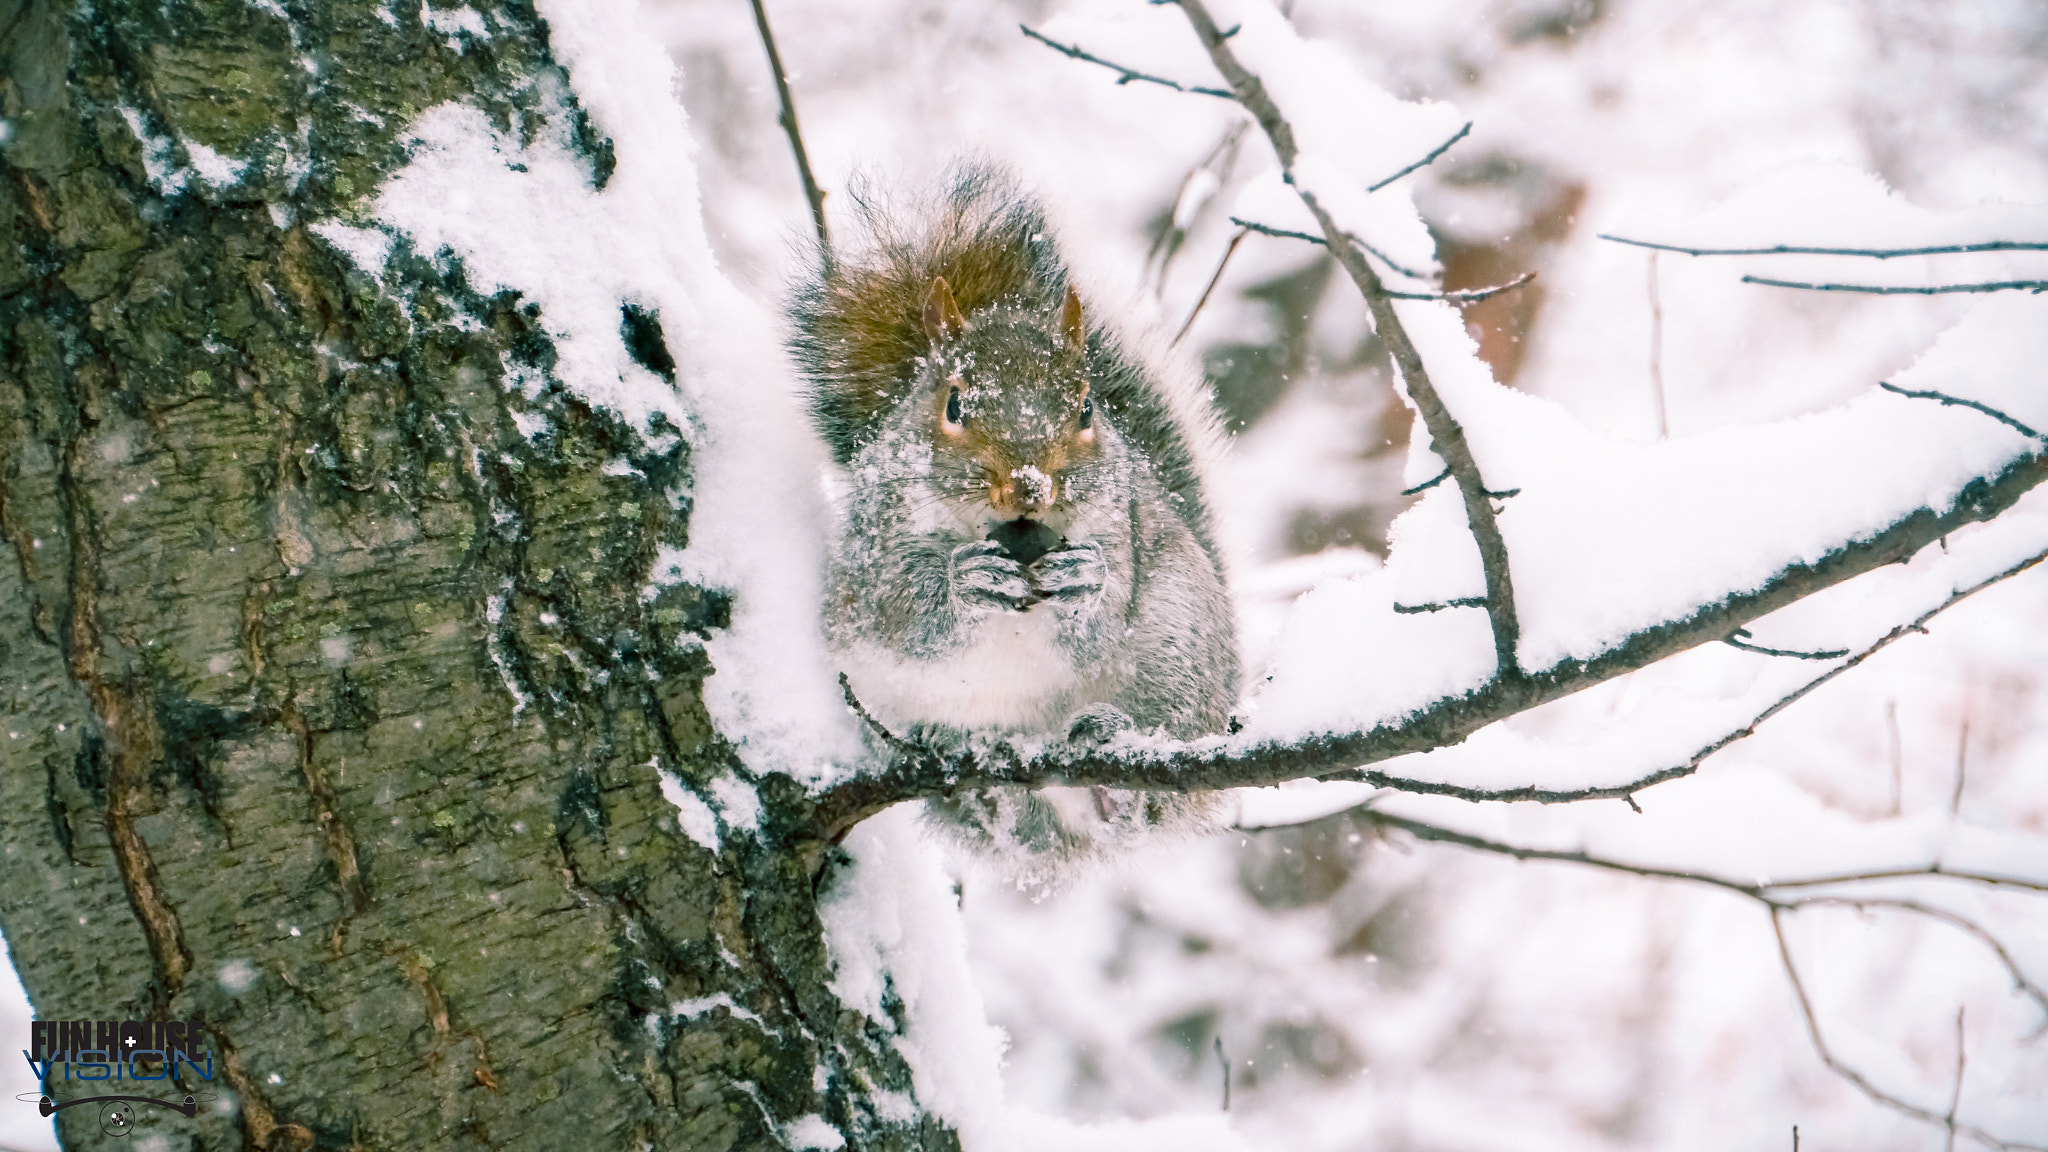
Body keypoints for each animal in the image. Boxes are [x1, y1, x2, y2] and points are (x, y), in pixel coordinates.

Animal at [782, 163, 1228, 869]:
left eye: (1087, 409)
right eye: (954, 405)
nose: (1029, 484)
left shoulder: (1121, 527)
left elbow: (1102, 612)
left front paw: (1085, 581)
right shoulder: (876, 543)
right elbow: (902, 612)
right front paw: (965, 584)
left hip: (1180, 649)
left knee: (1152, 797)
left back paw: (1113, 766)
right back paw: (983, 780)